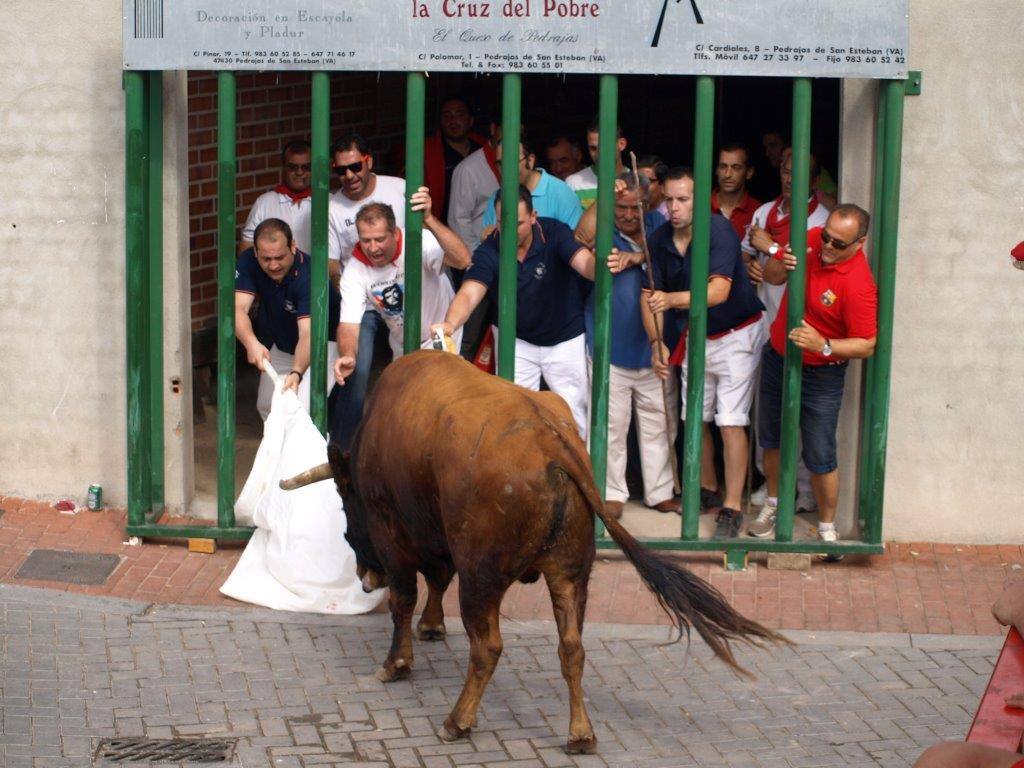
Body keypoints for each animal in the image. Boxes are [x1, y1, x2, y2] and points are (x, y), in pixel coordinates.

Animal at [286, 350, 782, 757]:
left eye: (346, 502)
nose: (365, 576)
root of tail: (552, 441)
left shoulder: (394, 533)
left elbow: (405, 598)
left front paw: (396, 663)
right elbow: (436, 580)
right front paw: (432, 627)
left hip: (483, 578)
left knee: (487, 646)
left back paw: (457, 722)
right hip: (570, 574)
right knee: (572, 648)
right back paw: (580, 734)